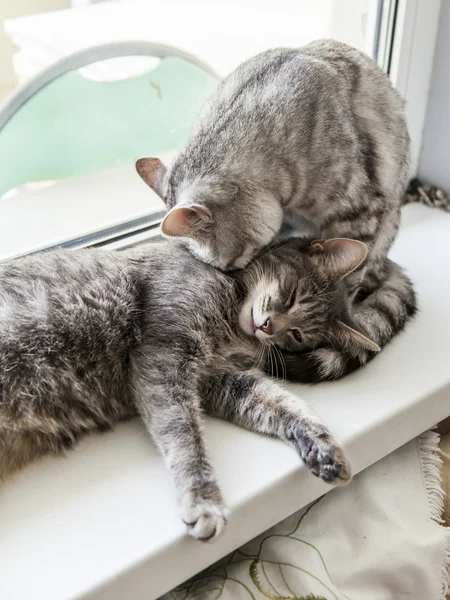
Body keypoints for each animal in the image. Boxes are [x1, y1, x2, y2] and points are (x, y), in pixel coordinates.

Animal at [0, 239, 394, 544]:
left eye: (298, 335)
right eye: (293, 296)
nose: (268, 326)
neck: (234, 327)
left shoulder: (219, 381)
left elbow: (282, 403)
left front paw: (324, 447)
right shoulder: (164, 354)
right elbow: (184, 433)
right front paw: (204, 501)